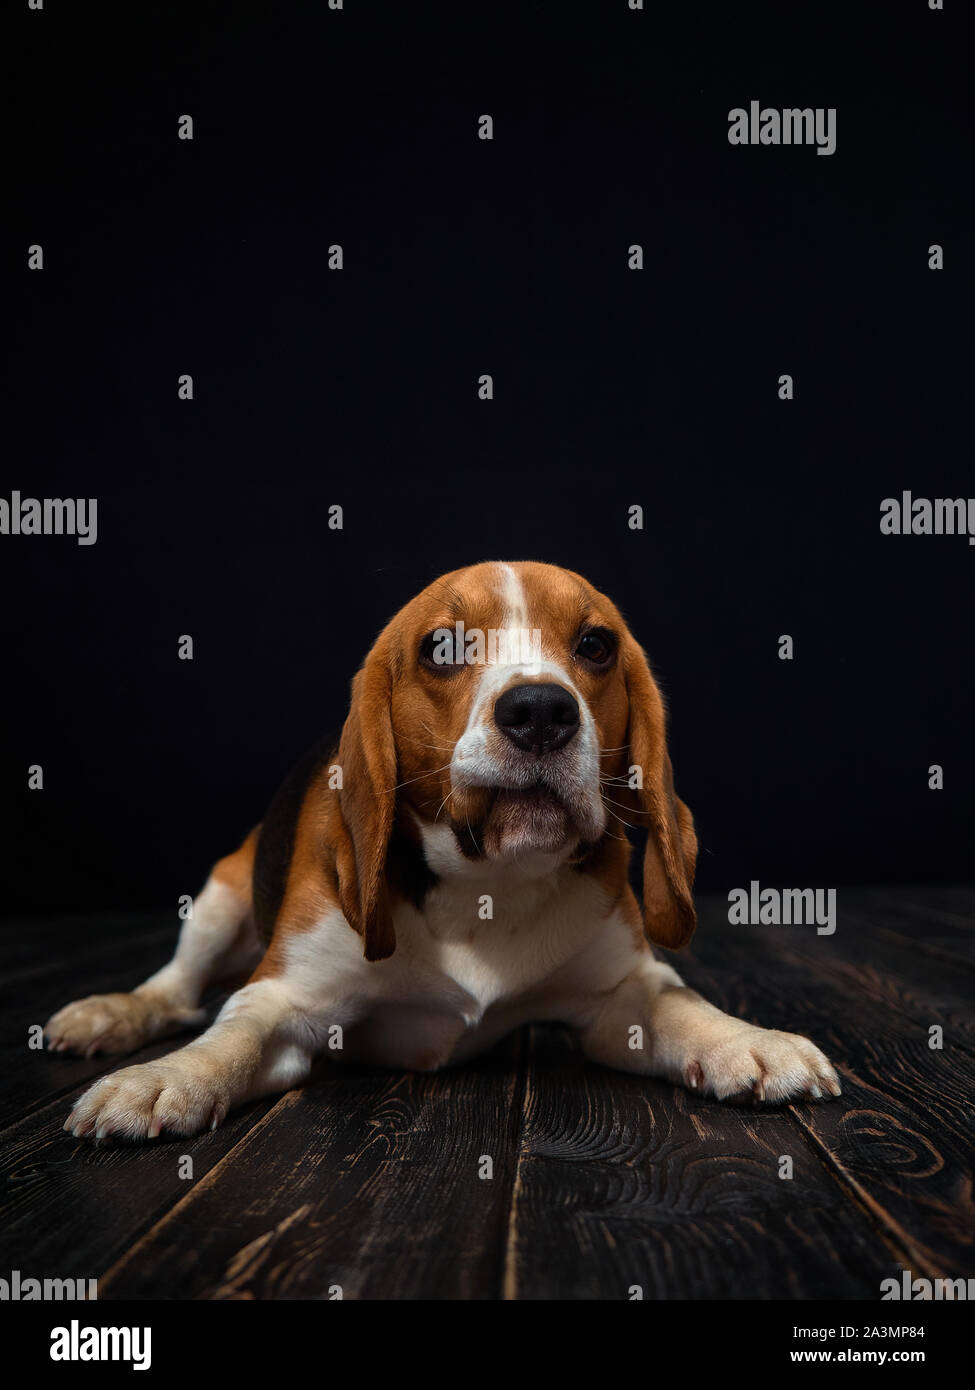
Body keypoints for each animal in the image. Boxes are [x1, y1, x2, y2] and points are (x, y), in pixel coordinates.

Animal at [47, 558, 834, 1145]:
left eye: (595, 645)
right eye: (441, 649)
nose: (541, 710)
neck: (486, 885)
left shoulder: (621, 996)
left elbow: (679, 1003)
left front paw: (747, 1039)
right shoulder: (284, 999)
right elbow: (230, 1035)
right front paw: (166, 1080)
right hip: (219, 898)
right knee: (176, 993)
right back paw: (113, 1016)